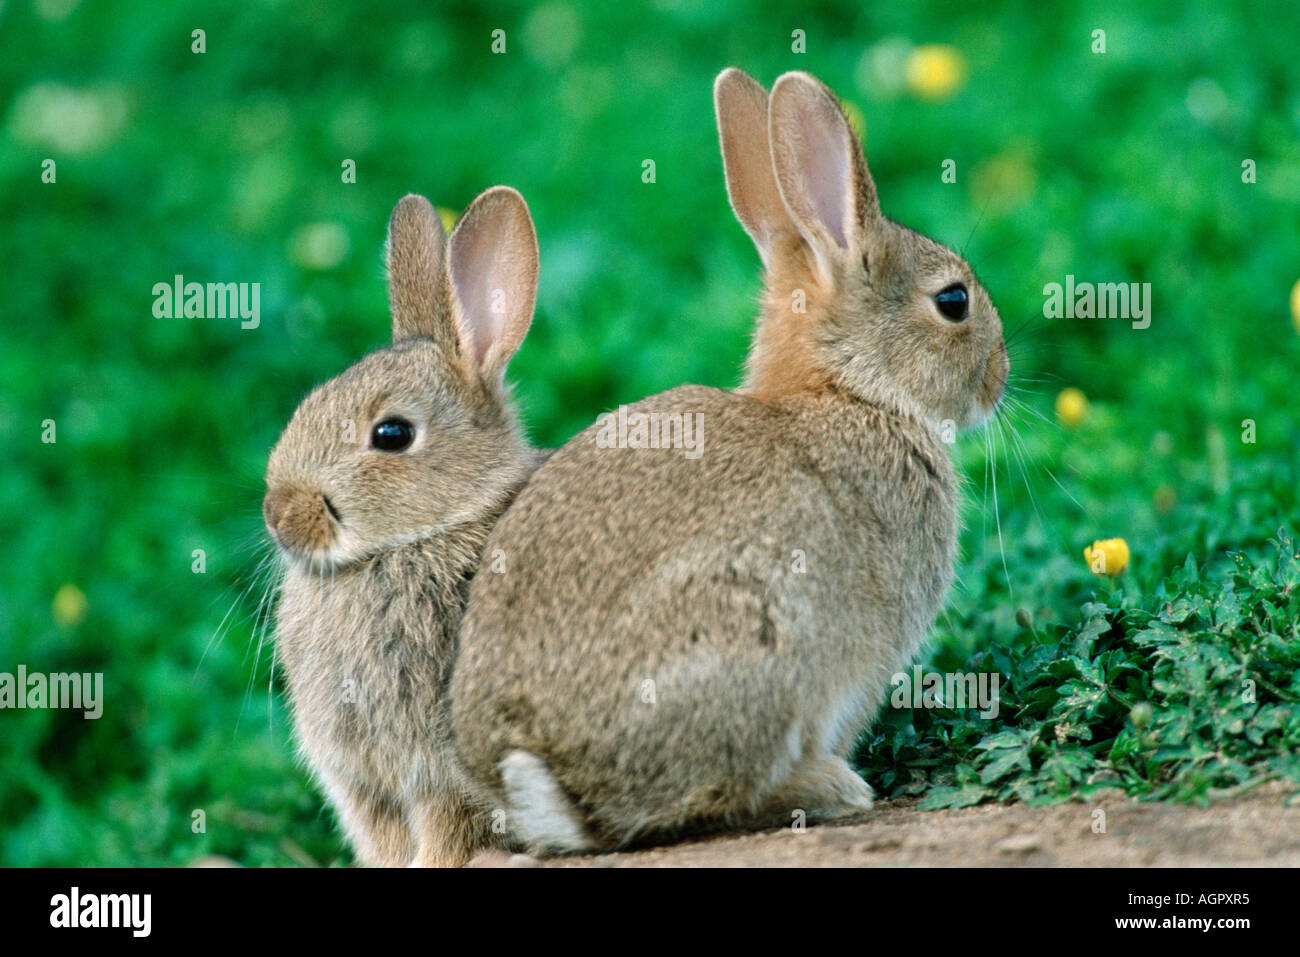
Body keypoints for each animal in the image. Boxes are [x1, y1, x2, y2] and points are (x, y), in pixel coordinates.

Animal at [446, 69, 1009, 854]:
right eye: (953, 301)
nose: (1000, 378)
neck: (847, 391)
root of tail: (542, 772)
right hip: (757, 641)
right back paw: (833, 788)